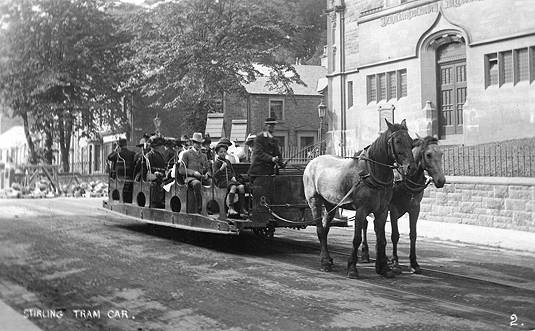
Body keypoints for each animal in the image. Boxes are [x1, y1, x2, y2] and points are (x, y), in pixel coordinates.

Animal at [304, 120, 416, 278]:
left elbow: (381, 239)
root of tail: (312, 162)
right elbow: (356, 239)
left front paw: (383, 268)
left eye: (411, 142)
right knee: (320, 230)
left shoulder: (382, 211)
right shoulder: (361, 210)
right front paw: (352, 268)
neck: (371, 172)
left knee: (325, 230)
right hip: (314, 201)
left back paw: (328, 259)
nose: (411, 167)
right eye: (398, 141)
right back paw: (325, 262)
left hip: (331, 204)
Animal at [360, 135, 448, 274]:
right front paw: (395, 262)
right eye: (428, 155)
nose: (441, 180)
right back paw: (365, 253)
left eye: (441, 154)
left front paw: (414, 263)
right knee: (365, 224)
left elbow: (413, 235)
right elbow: (395, 235)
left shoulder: (415, 208)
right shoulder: (393, 209)